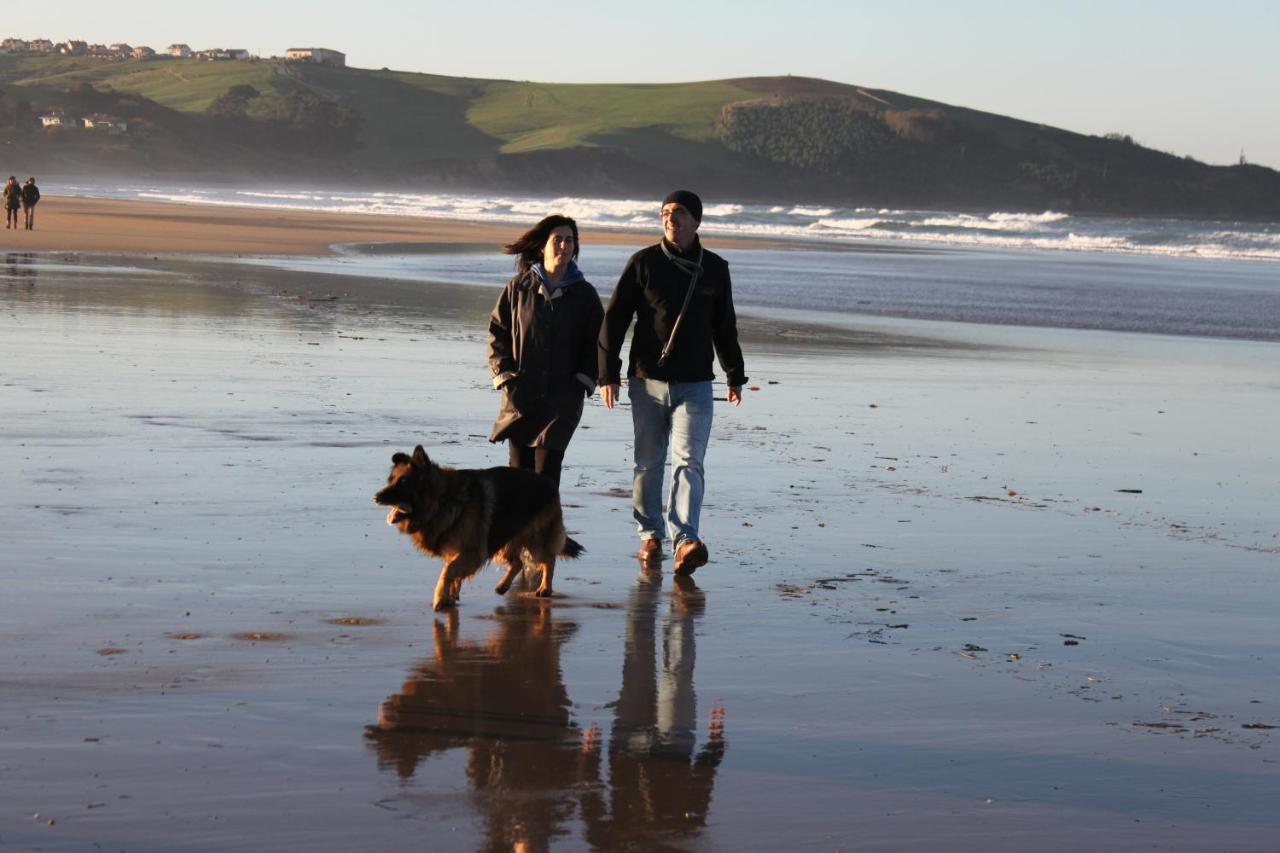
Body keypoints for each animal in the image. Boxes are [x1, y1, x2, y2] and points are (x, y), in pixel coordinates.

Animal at [373, 448, 586, 607]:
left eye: (404, 482)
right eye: (391, 480)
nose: (375, 497)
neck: (443, 499)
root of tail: (548, 482)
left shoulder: (473, 551)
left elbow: (448, 571)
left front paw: (440, 598)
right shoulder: (458, 550)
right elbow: (453, 573)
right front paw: (451, 596)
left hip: (534, 541)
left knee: (549, 559)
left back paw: (545, 588)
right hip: (503, 538)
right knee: (518, 562)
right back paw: (503, 586)